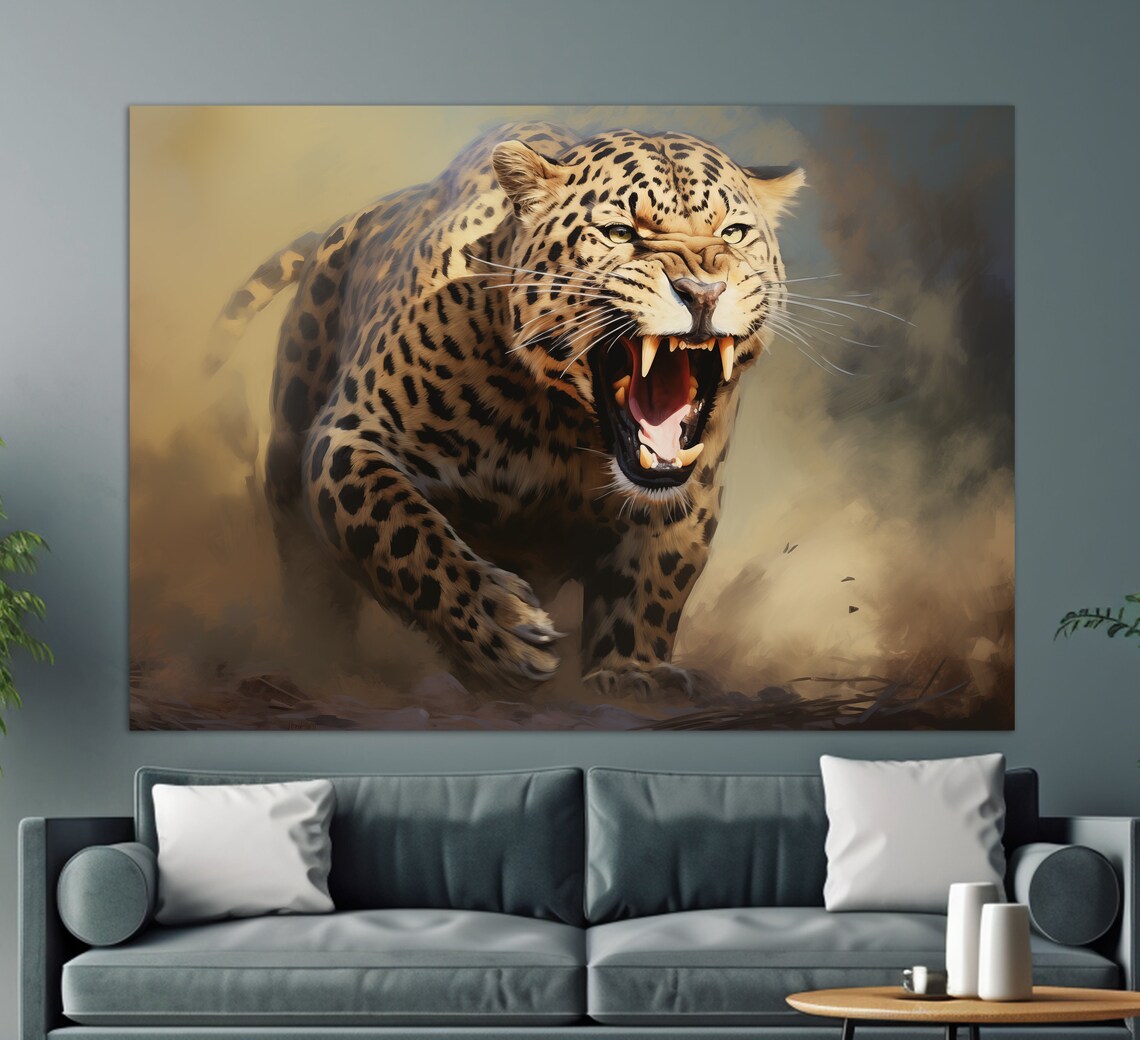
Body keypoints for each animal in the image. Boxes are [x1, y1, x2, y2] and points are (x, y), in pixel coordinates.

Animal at [215, 121, 805, 699]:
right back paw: (318, 659)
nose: (703, 292)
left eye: (735, 233)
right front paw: (500, 630)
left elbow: (650, 586)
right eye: (619, 233)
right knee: (308, 567)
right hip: (292, 435)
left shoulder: (687, 497)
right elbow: (399, 529)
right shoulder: (352, 435)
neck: (560, 426)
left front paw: (631, 671)